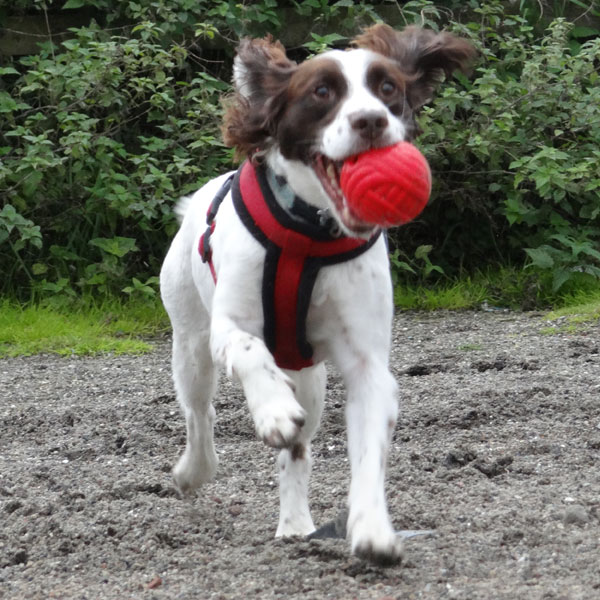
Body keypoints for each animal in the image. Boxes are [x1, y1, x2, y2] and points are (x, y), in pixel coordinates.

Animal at [159, 23, 474, 564]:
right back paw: (193, 471)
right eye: (322, 92)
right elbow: (248, 349)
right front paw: (272, 410)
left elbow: (367, 451)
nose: (371, 120)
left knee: (297, 452)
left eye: (387, 87)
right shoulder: (229, 327)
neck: (309, 232)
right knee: (200, 414)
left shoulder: (367, 367)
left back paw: (295, 525)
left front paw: (372, 528)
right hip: (191, 344)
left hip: (310, 379)